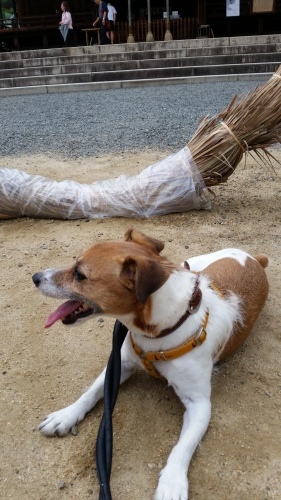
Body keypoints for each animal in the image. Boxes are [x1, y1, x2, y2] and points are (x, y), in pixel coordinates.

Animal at [31, 229, 268, 498]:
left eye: (80, 275)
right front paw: (66, 416)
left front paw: (172, 482)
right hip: (192, 263)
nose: (35, 277)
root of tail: (254, 259)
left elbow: (182, 447)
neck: (161, 332)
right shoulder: (120, 364)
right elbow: (90, 393)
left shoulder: (200, 405)